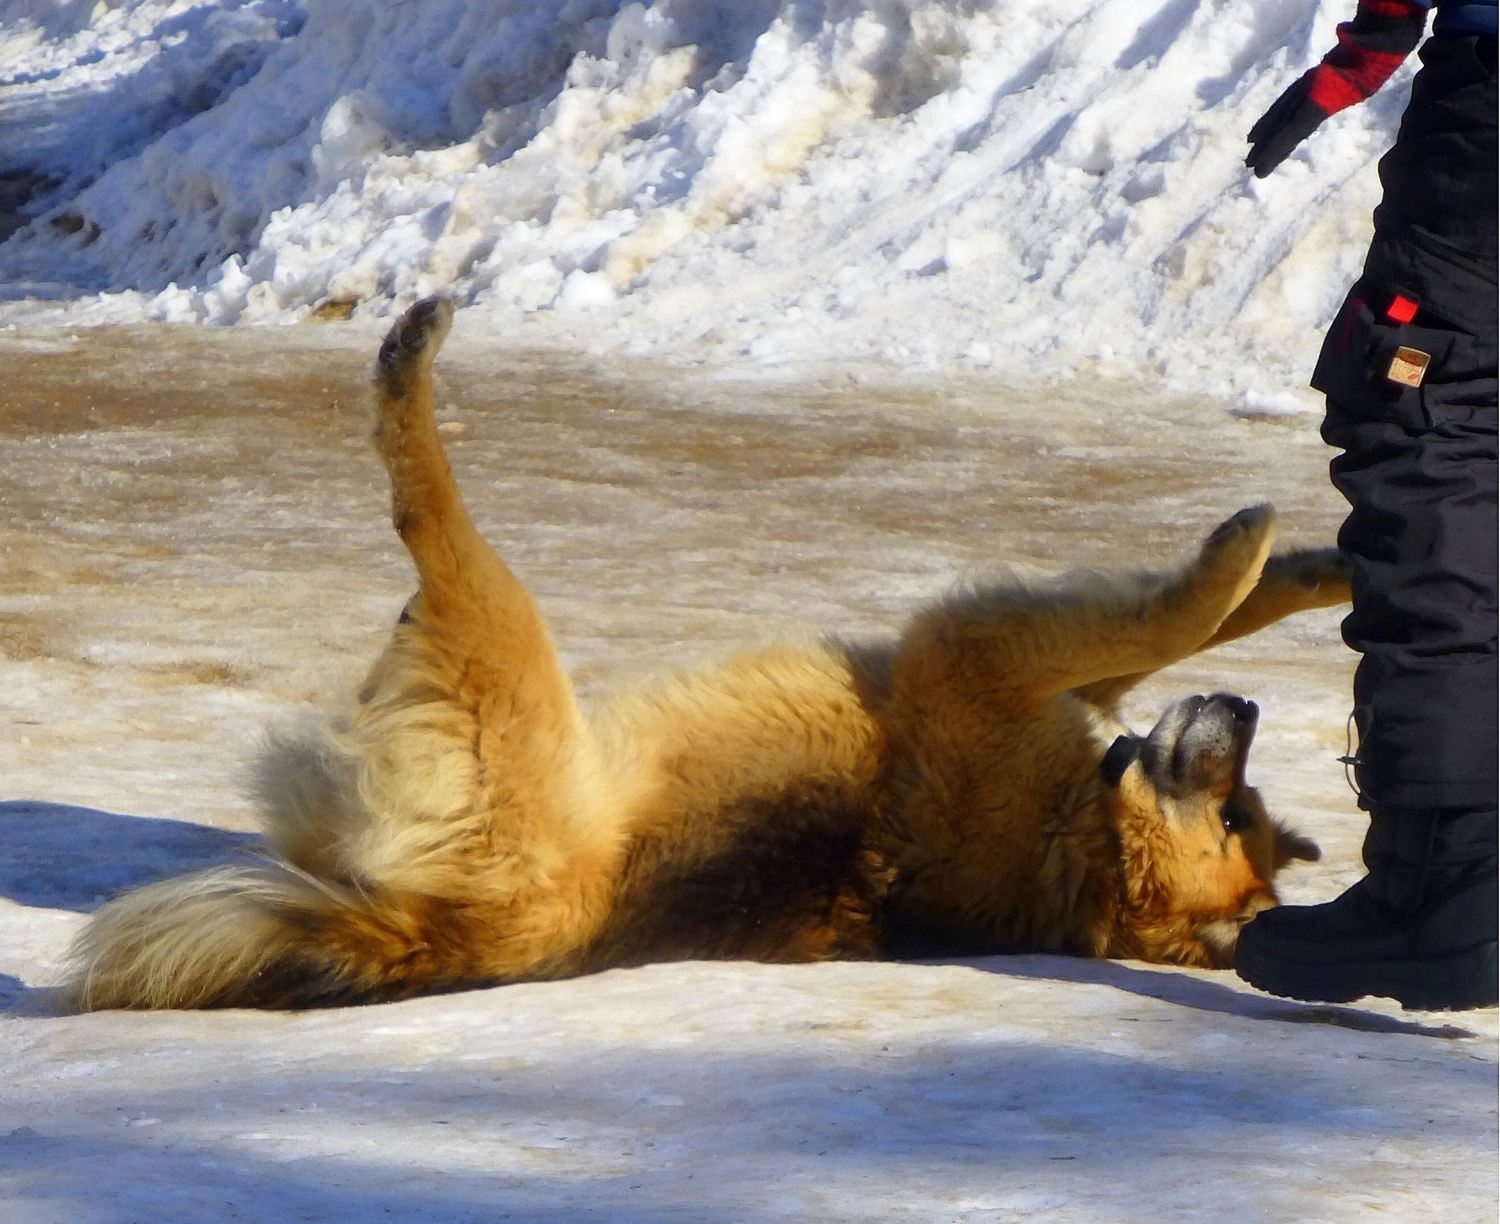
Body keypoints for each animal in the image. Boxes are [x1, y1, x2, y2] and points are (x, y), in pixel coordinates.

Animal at [64, 297, 1344, 1014]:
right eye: (1243, 810)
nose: (1245, 715)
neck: (1082, 839)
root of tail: (459, 936)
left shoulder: (970, 655)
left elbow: (1161, 615)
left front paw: (1238, 557)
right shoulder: (1020, 676)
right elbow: (1182, 627)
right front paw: (1304, 563)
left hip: (498, 661)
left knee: (429, 515)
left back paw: (409, 378)